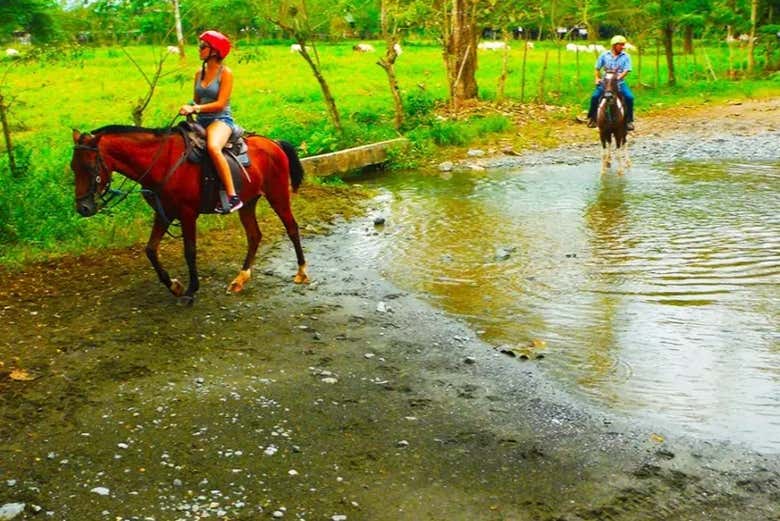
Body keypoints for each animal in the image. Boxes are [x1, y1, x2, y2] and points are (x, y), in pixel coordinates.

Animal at [69, 125, 308, 304]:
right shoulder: (164, 214)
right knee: (254, 235)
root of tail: (274, 143)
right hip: (248, 203)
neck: (162, 163)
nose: (83, 208)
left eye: (90, 167)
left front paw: (191, 290)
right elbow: (150, 250)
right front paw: (174, 286)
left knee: (292, 227)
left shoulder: (187, 214)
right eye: (73, 167)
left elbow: (190, 251)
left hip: (277, 194)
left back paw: (301, 272)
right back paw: (240, 279)